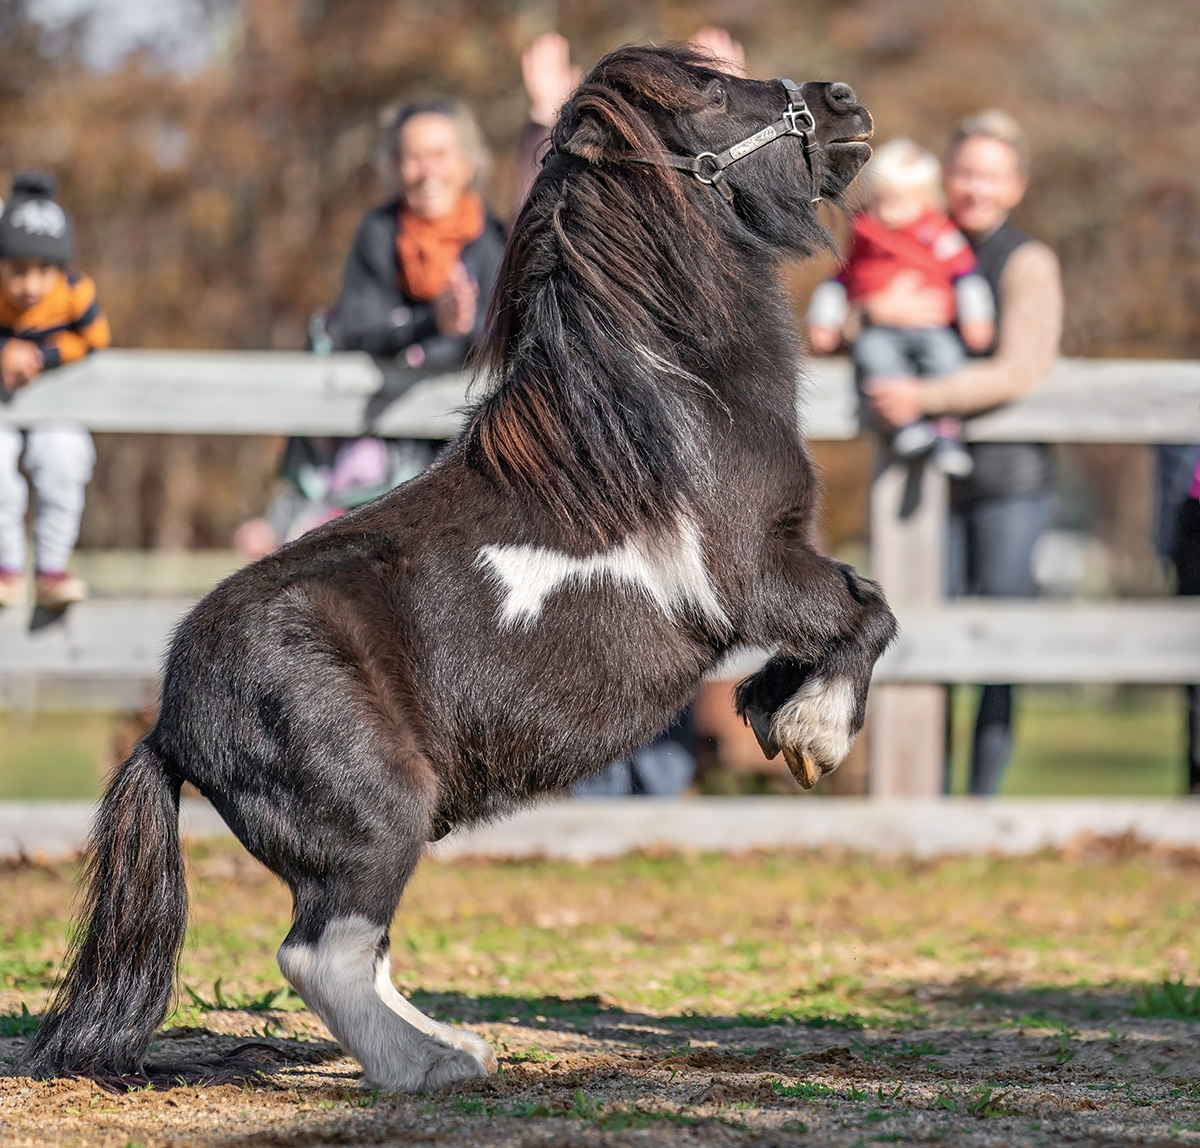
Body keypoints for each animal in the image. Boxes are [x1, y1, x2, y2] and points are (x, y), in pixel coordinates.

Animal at [25, 47, 892, 1094]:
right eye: (713, 93)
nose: (844, 103)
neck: (669, 407)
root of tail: (167, 723)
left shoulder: (775, 576)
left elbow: (845, 620)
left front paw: (773, 709)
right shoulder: (757, 573)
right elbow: (866, 610)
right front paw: (813, 734)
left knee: (361, 952)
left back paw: (458, 1047)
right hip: (378, 816)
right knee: (322, 954)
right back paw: (432, 1068)